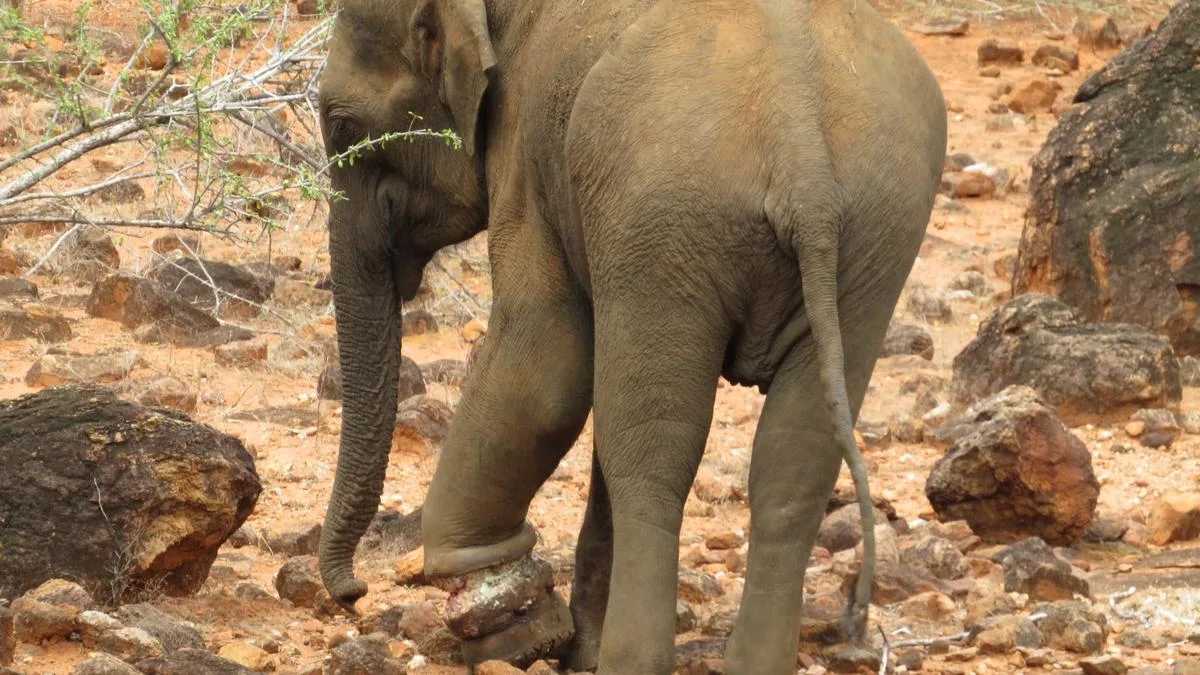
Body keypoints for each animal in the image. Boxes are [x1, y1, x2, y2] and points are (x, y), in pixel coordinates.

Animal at [314, 0, 947, 672]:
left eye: (342, 124)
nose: (352, 592)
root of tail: (798, 138)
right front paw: (557, 640)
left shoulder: (526, 140)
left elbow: (547, 364)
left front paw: (513, 627)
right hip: (875, 236)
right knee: (790, 466)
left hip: (664, 214)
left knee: (652, 459)